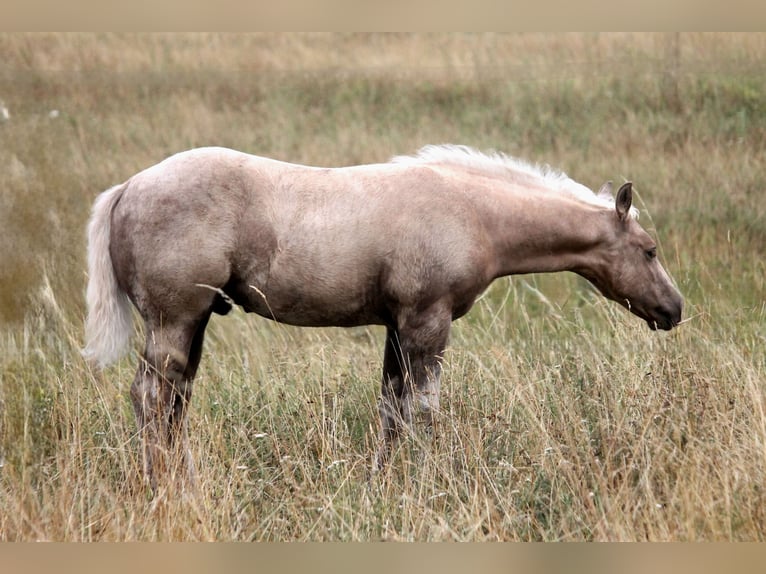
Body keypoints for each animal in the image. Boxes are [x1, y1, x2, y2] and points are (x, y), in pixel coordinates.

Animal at [83, 144, 683, 487]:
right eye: (650, 250)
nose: (674, 310)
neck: (473, 212)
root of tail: (128, 188)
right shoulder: (427, 322)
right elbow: (423, 411)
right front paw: (423, 484)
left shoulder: (398, 327)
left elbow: (392, 411)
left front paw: (383, 483)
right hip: (175, 320)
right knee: (151, 397)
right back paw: (161, 487)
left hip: (195, 322)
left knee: (174, 401)